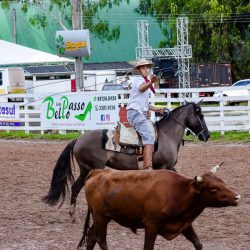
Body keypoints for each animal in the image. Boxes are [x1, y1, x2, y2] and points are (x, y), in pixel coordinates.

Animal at [42, 101, 209, 223]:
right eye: (200, 115)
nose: (206, 135)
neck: (166, 135)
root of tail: (78, 139)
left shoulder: (170, 167)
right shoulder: (164, 167)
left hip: (85, 170)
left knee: (75, 188)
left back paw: (74, 217)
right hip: (93, 169)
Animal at [77, 164, 240, 250]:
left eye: (222, 182)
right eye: (213, 189)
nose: (237, 197)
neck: (178, 192)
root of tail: (97, 172)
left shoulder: (185, 224)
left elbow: (198, 243)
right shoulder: (151, 225)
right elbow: (148, 247)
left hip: (100, 217)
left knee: (91, 237)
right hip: (101, 217)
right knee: (101, 240)